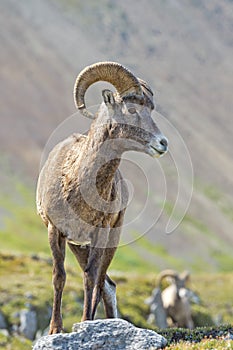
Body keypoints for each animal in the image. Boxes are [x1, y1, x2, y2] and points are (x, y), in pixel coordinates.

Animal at [36, 60, 167, 334]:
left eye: (150, 109)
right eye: (131, 109)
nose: (162, 143)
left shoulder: (100, 233)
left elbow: (89, 278)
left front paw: (85, 323)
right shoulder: (56, 231)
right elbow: (59, 276)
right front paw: (55, 329)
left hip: (110, 240)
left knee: (104, 284)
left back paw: (105, 322)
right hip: (77, 245)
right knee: (105, 284)